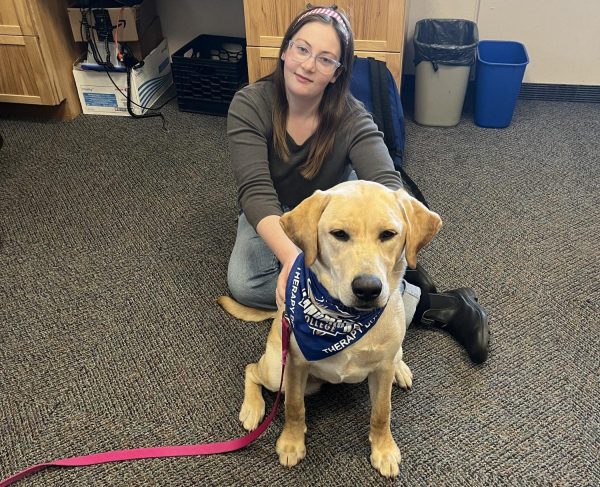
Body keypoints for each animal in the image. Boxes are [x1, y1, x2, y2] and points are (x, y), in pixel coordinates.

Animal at [219, 181, 440, 478]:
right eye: (339, 234)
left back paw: (401, 369)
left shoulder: (382, 370)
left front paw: (383, 450)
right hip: (277, 369)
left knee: (397, 356)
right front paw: (291, 443)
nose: (368, 289)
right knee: (252, 370)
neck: (345, 319)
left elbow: (382, 412)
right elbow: (294, 407)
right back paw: (253, 408)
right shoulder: (296, 365)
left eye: (388, 234)